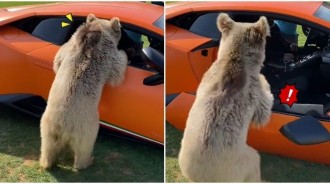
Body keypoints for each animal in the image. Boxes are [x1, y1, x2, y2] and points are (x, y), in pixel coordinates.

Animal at [39, 14, 127, 170]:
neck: (96, 31)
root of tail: (63, 127)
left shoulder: (70, 45)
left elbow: (58, 59)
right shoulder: (107, 53)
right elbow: (117, 68)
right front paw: (124, 53)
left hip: (47, 127)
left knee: (47, 147)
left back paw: (45, 162)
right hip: (86, 128)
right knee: (84, 148)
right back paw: (87, 161)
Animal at [178, 13, 274, 183]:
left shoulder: (207, 77)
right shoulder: (252, 91)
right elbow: (263, 112)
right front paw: (265, 80)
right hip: (241, 161)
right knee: (255, 162)